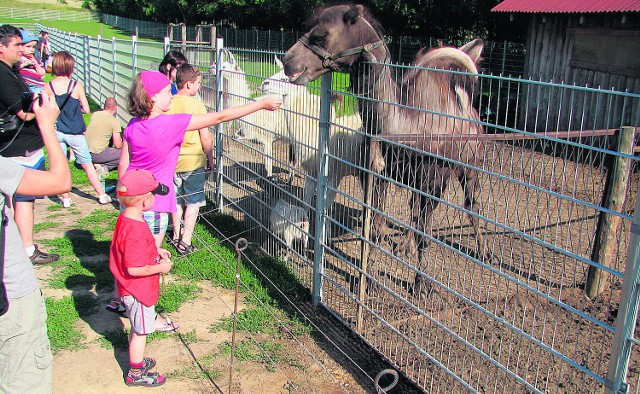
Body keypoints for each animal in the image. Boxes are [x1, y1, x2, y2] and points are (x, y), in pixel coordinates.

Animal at [282, 3, 488, 298]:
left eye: (321, 35)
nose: (288, 61)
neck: (401, 127)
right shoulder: (376, 175)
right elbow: (376, 230)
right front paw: (366, 282)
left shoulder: (433, 180)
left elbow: (425, 236)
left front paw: (420, 286)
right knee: (414, 213)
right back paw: (403, 247)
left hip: (471, 165)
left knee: (471, 204)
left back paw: (483, 252)